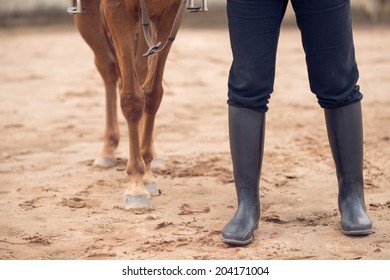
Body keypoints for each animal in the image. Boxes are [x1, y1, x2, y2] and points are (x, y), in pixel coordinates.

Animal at [69, 0, 207, 209]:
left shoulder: (170, 13)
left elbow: (152, 93)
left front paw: (147, 172)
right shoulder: (117, 11)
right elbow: (131, 98)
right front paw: (136, 186)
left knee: (140, 71)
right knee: (107, 67)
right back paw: (107, 150)